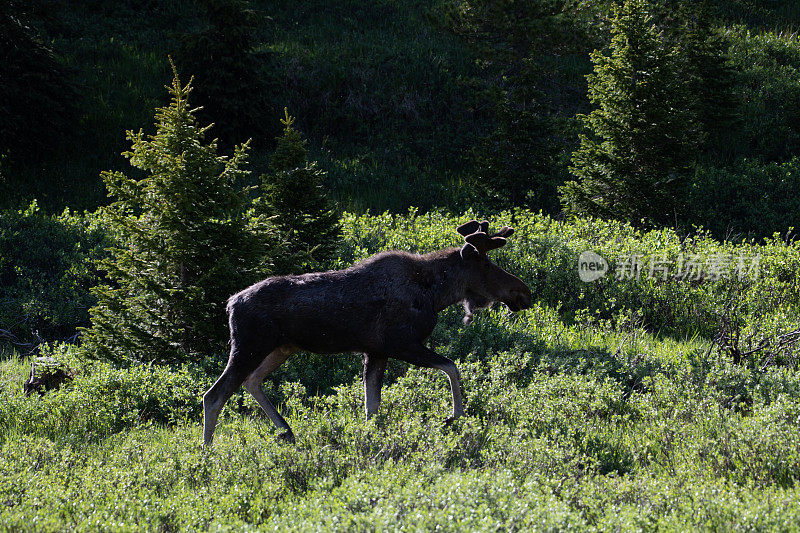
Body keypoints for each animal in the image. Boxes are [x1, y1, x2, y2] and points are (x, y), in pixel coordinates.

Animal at [203, 219, 536, 444]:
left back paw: (287, 431)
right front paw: (454, 417)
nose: (524, 292)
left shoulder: (376, 352)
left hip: (280, 348)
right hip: (249, 346)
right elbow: (452, 367)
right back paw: (207, 453)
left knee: (251, 381)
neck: (436, 293)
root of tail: (230, 304)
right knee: (214, 395)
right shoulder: (401, 343)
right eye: (487, 265)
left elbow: (372, 408)